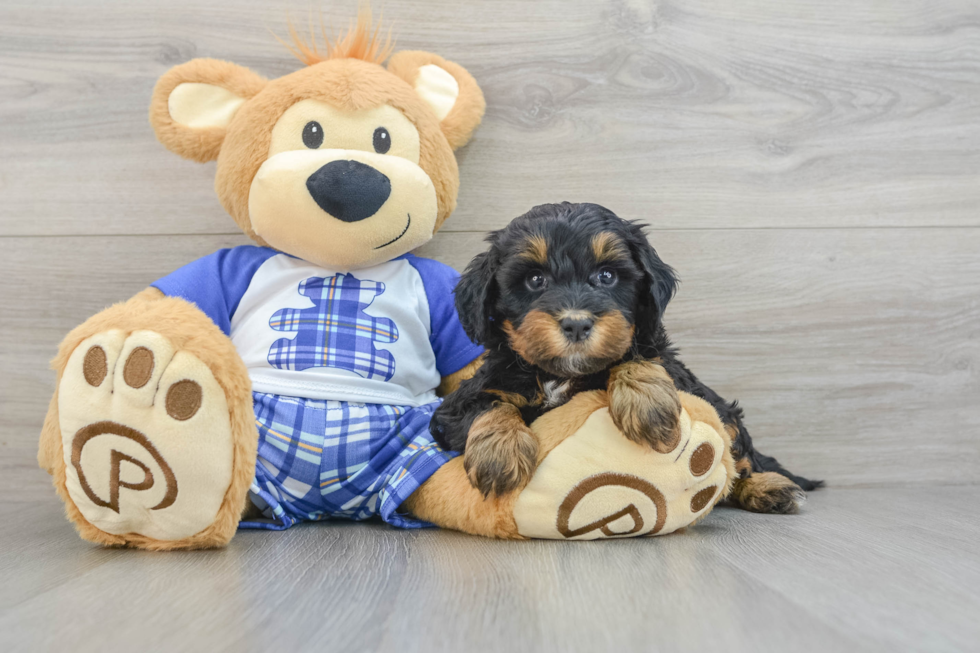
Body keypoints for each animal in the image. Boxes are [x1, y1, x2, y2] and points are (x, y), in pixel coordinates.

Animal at [432, 199, 824, 510]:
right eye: (534, 280)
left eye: (607, 276)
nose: (576, 324)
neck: (562, 374)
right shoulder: (457, 405)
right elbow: (488, 405)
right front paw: (500, 453)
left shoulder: (666, 363)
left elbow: (637, 357)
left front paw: (647, 404)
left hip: (722, 411)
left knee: (737, 456)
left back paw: (769, 487)